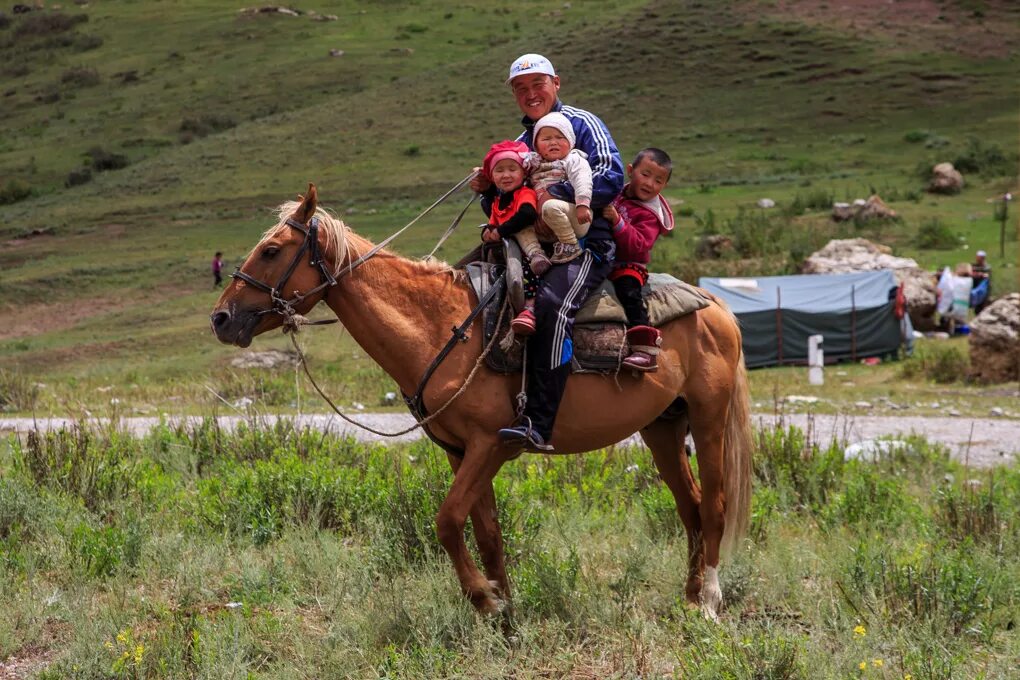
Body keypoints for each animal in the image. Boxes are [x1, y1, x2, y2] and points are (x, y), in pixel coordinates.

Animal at [211, 186, 754, 623]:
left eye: (271, 250)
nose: (221, 318)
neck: (441, 328)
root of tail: (714, 305)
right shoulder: (460, 451)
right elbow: (487, 531)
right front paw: (506, 611)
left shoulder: (490, 444)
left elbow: (448, 521)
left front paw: (484, 600)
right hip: (662, 427)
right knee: (691, 507)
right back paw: (688, 597)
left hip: (708, 421)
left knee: (715, 506)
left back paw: (709, 601)